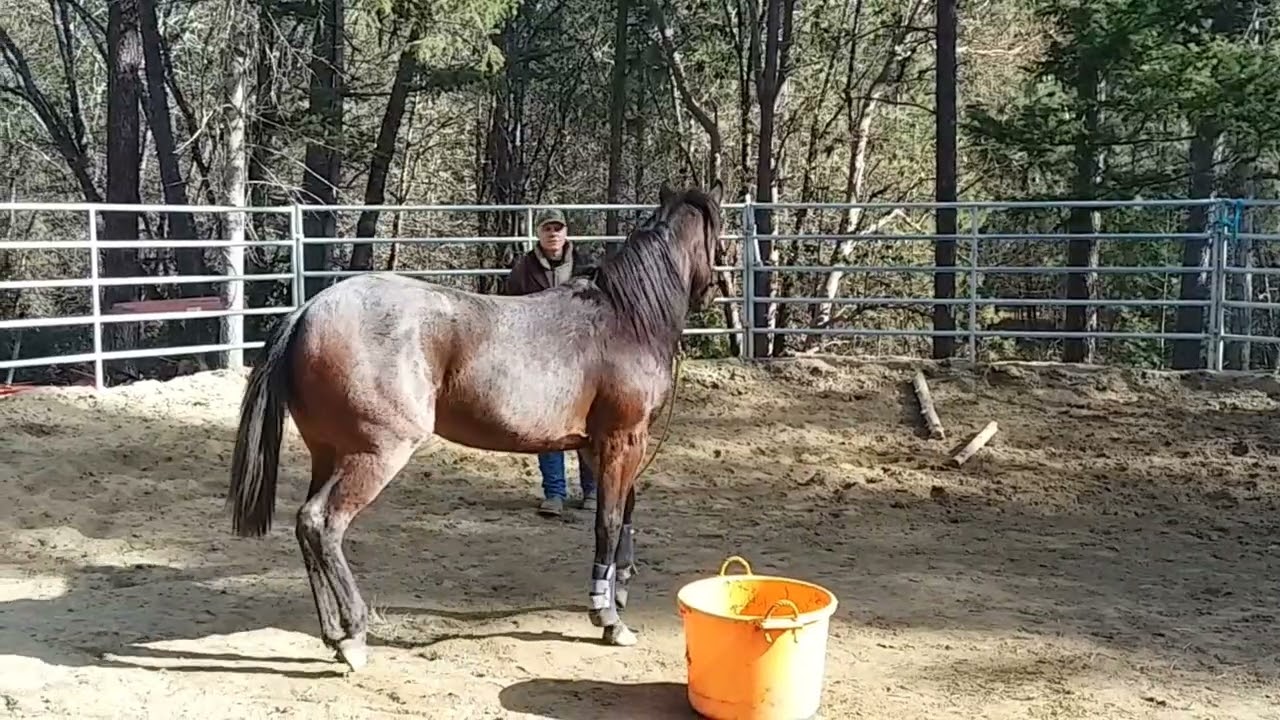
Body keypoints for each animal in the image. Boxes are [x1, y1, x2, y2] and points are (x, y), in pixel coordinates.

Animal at [226, 180, 725, 672]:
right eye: (719, 233)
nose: (713, 292)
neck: (625, 319)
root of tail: (307, 310)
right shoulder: (623, 440)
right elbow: (610, 520)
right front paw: (609, 619)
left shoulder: (600, 445)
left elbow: (625, 516)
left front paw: (617, 595)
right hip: (375, 454)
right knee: (324, 523)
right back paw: (354, 635)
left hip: (327, 453)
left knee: (304, 523)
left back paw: (332, 633)